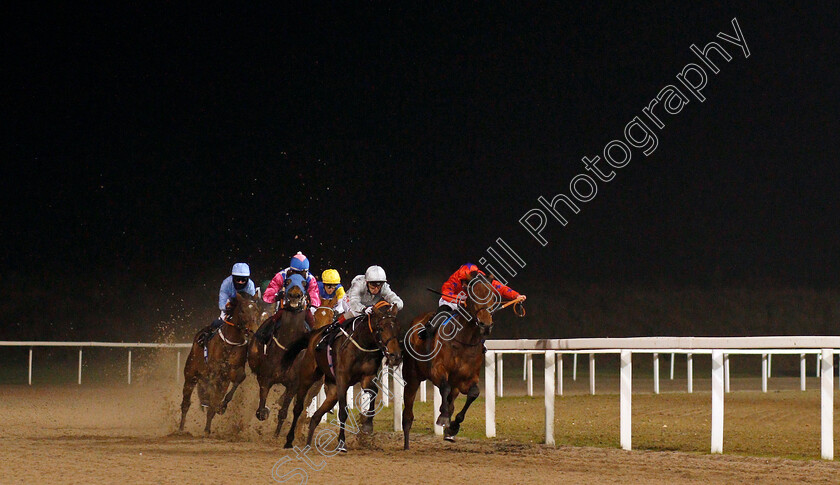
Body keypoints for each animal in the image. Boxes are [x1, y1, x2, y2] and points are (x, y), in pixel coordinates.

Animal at [180, 290, 262, 432]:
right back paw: (180, 429)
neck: (230, 344)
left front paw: (222, 406)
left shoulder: (229, 374)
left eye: (256, 310)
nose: (253, 330)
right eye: (242, 310)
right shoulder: (215, 373)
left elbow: (239, 378)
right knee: (186, 403)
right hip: (190, 374)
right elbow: (212, 397)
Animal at [280, 302, 402, 450]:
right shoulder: (342, 380)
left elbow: (373, 393)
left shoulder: (367, 377)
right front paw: (341, 443)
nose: (396, 356)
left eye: (398, 327)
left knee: (316, 416)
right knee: (298, 408)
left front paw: (367, 425)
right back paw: (289, 440)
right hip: (308, 376)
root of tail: (315, 334)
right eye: (381, 328)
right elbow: (343, 412)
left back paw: (308, 443)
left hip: (332, 390)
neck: (362, 344)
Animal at [402, 274, 498, 448]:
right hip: (412, 376)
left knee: (451, 399)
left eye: (493, 296)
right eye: (473, 295)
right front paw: (443, 417)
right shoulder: (437, 370)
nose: (485, 324)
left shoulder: (467, 378)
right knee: (408, 412)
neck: (464, 340)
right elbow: (444, 388)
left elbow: (473, 393)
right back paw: (406, 444)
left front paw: (453, 426)